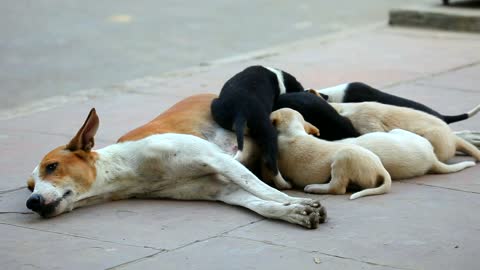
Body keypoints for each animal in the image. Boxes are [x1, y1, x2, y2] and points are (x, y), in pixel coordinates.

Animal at [26, 94, 326, 229]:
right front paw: (294, 212)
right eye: (29, 186)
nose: (32, 202)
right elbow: (260, 203)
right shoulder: (220, 189)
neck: (130, 167)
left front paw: (296, 201)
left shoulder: (216, 159)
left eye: (52, 166)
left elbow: (265, 190)